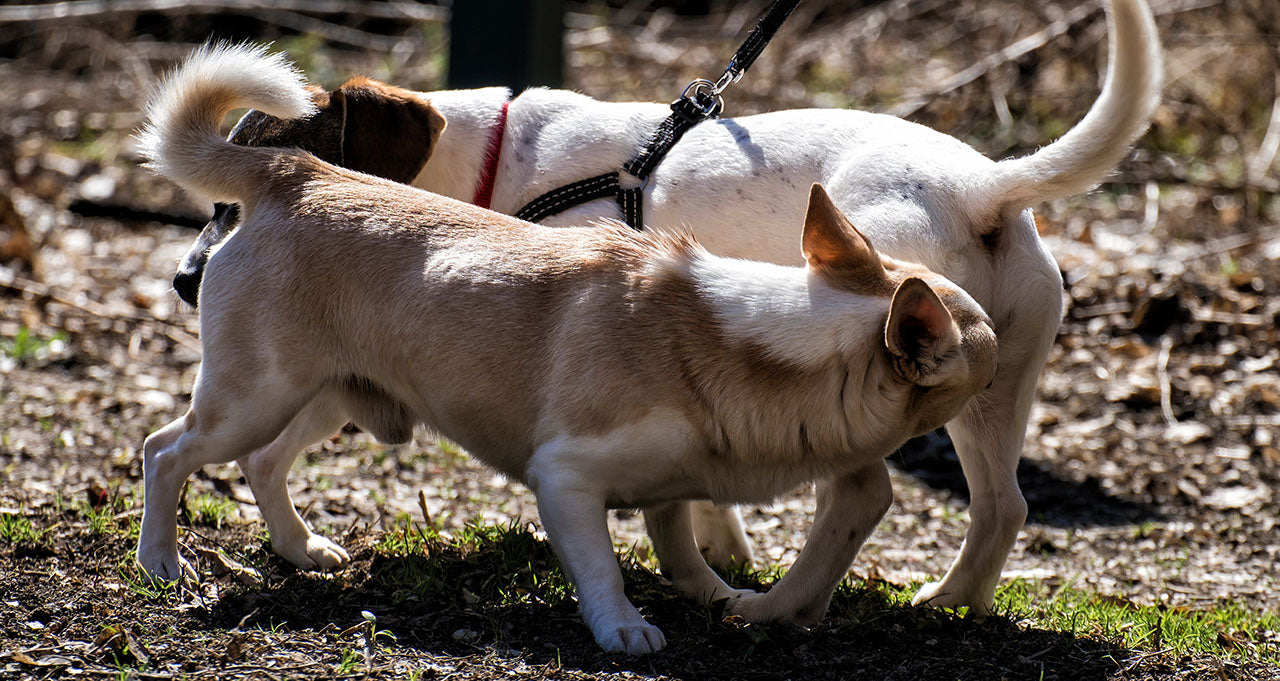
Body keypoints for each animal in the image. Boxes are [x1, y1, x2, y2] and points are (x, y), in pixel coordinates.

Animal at [170, 0, 1162, 616]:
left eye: (225, 207)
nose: (185, 281)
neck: (495, 161)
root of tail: (985, 185)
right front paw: (717, 547)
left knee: (878, 491)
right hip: (998, 389)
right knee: (1003, 506)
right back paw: (952, 603)